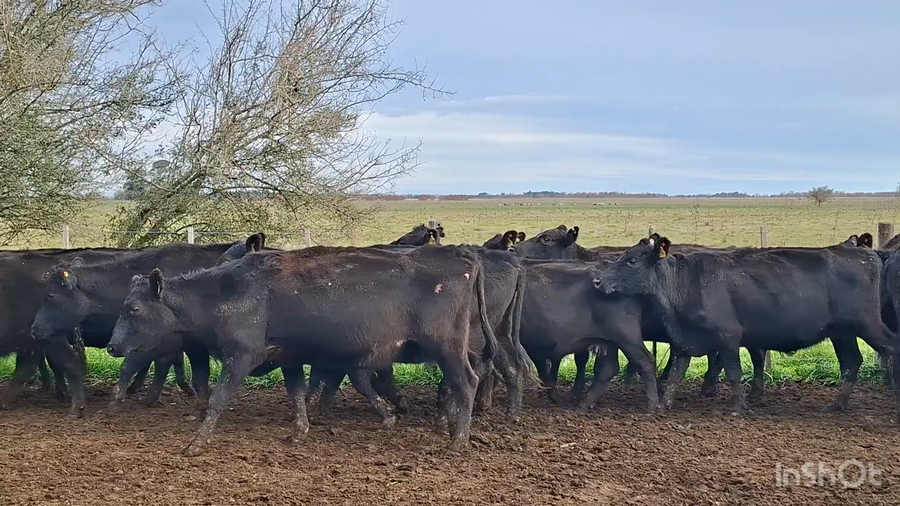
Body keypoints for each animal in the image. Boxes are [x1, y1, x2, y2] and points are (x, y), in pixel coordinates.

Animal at [106, 246, 498, 456]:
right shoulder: (289, 358)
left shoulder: (240, 357)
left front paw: (197, 443)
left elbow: (218, 399)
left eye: (133, 309)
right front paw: (299, 431)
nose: (112, 346)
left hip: (447, 348)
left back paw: (457, 440)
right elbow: (296, 394)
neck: (226, 291)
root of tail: (463, 257)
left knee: (466, 383)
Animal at [592, 235, 900, 414]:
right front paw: (664, 405)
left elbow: (733, 372)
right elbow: (676, 374)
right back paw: (837, 404)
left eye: (632, 260)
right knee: (851, 362)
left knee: (891, 349)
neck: (687, 283)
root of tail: (866, 254)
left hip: (868, 324)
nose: (597, 280)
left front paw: (737, 408)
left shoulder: (729, 336)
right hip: (842, 332)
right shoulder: (683, 339)